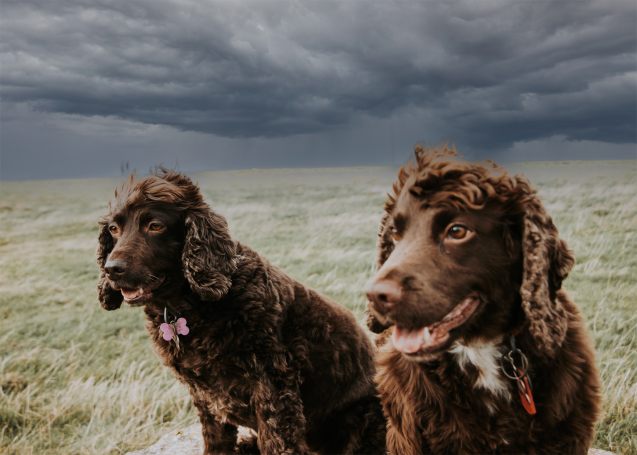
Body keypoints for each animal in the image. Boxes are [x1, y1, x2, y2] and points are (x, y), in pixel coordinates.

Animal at [94, 170, 382, 455]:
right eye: (114, 229)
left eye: (155, 226)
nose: (112, 269)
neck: (195, 304)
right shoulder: (207, 396)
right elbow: (216, 442)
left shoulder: (274, 391)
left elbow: (277, 444)